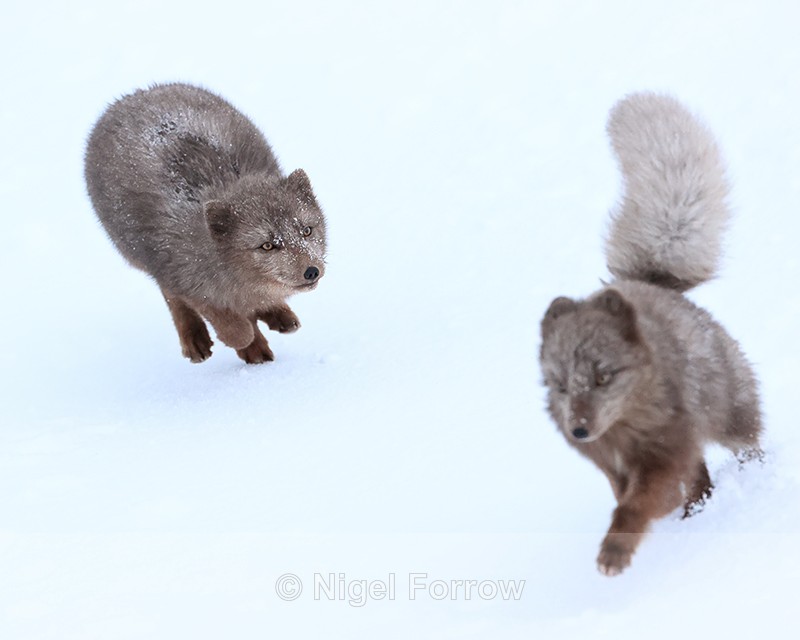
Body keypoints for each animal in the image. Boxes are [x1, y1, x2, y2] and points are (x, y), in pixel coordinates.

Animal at [85, 83, 327, 364]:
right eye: (267, 245)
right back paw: (200, 340)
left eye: (306, 231)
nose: (312, 271)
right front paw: (248, 342)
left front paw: (268, 315)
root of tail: (134, 94)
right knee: (172, 297)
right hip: (139, 255)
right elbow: (233, 327)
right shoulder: (181, 275)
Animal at [539, 93, 763, 576]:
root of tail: (651, 282)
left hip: (732, 419)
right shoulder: (616, 467)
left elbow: (633, 508)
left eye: (603, 376)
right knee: (702, 481)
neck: (627, 432)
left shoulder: (664, 458)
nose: (580, 430)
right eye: (561, 386)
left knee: (747, 450)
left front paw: (614, 554)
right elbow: (630, 498)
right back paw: (697, 511)